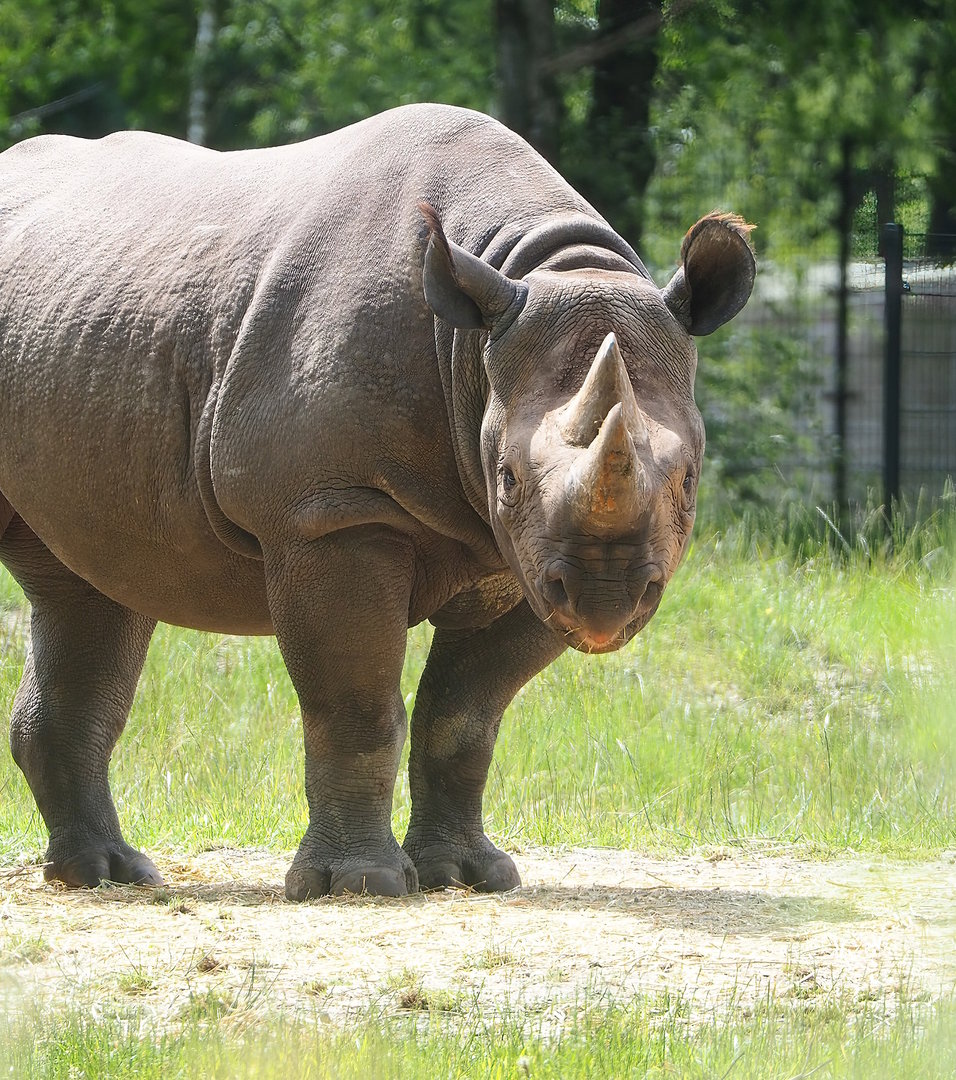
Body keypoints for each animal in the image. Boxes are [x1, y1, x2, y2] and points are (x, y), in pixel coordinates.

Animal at [0, 104, 754, 898]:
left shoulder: (520, 553)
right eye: (509, 477)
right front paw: (359, 884)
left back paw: (107, 875)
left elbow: (463, 716)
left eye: (688, 480)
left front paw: (467, 875)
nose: (606, 603)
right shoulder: (333, 511)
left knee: (89, 588)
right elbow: (356, 705)